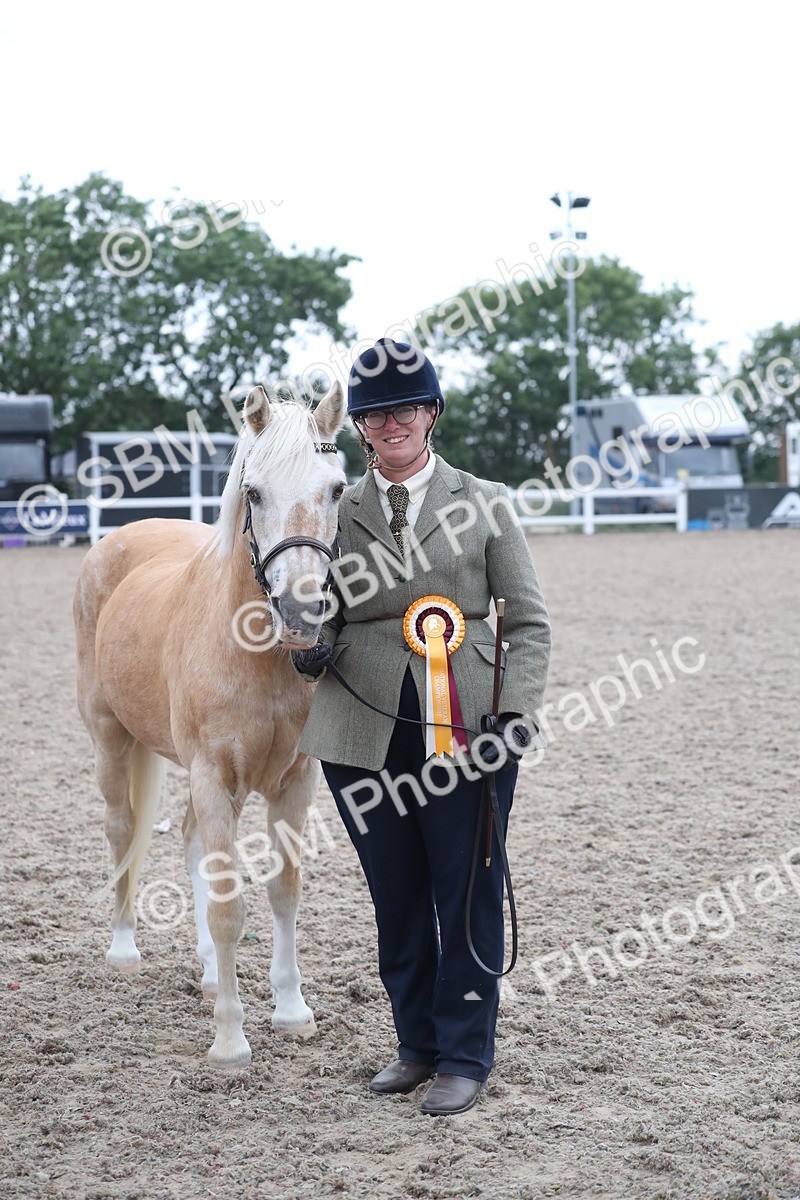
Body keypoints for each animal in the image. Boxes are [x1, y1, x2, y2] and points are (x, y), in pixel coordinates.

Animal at [72, 382, 347, 1068]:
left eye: (336, 488)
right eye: (254, 492)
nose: (301, 614)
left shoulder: (293, 781)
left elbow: (283, 892)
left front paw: (292, 1011)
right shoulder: (212, 774)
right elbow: (229, 908)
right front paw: (230, 1039)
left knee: (191, 839)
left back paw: (203, 972)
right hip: (110, 739)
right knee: (122, 830)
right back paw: (124, 949)